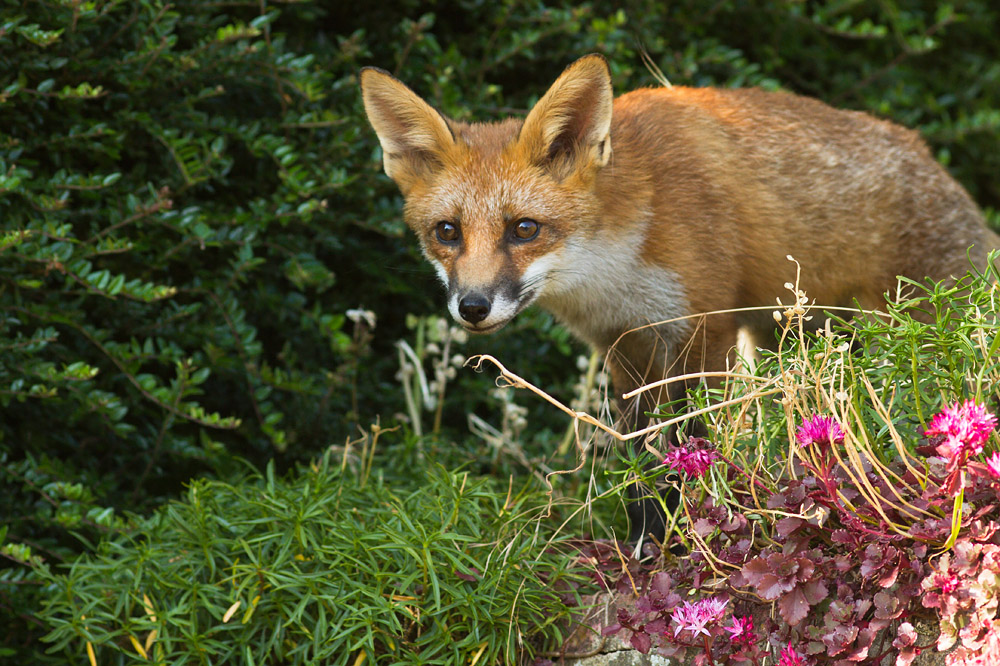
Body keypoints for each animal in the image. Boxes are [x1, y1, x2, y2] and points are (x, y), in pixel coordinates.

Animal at [360, 54, 1000, 544]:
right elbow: (641, 456)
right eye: (447, 232)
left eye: (524, 229)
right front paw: (646, 537)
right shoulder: (624, 347)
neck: (614, 265)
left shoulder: (703, 331)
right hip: (783, 338)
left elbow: (691, 445)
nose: (472, 307)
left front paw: (690, 535)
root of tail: (931, 159)